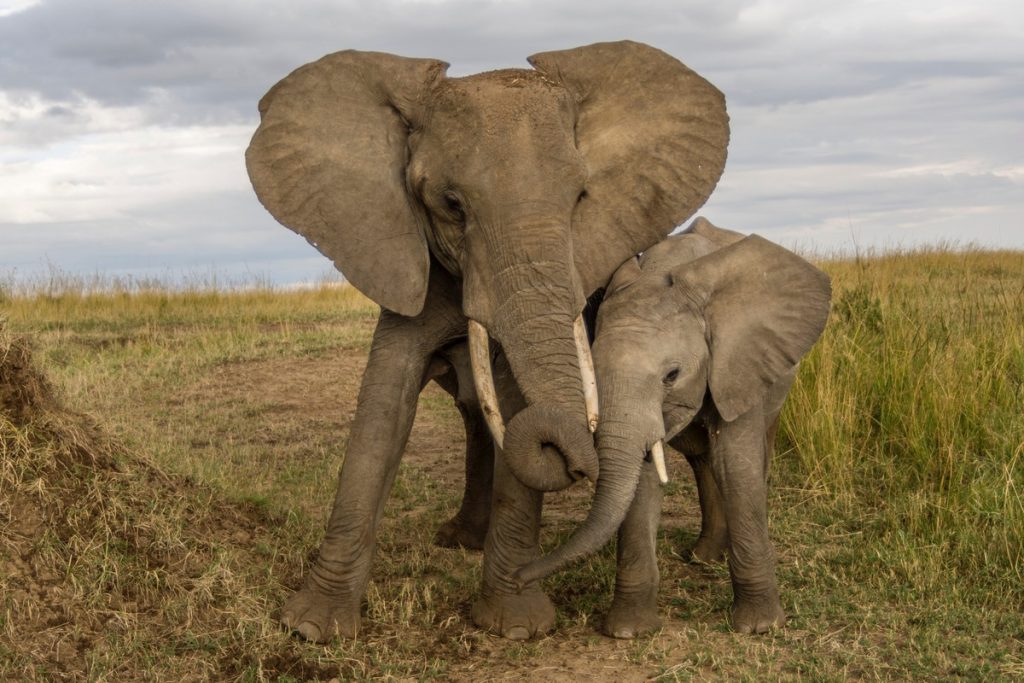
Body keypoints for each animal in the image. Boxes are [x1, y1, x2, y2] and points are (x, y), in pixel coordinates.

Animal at [246, 41, 729, 643]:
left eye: (580, 197)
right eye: (451, 205)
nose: (578, 461)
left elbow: (513, 400)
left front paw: (516, 628)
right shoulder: (405, 254)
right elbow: (383, 406)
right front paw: (313, 629)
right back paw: (461, 541)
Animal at [512, 219, 831, 643]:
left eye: (672, 375)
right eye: (593, 376)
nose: (517, 579)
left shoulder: (737, 361)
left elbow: (737, 465)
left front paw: (760, 627)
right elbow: (643, 477)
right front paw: (628, 631)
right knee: (701, 459)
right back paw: (703, 557)